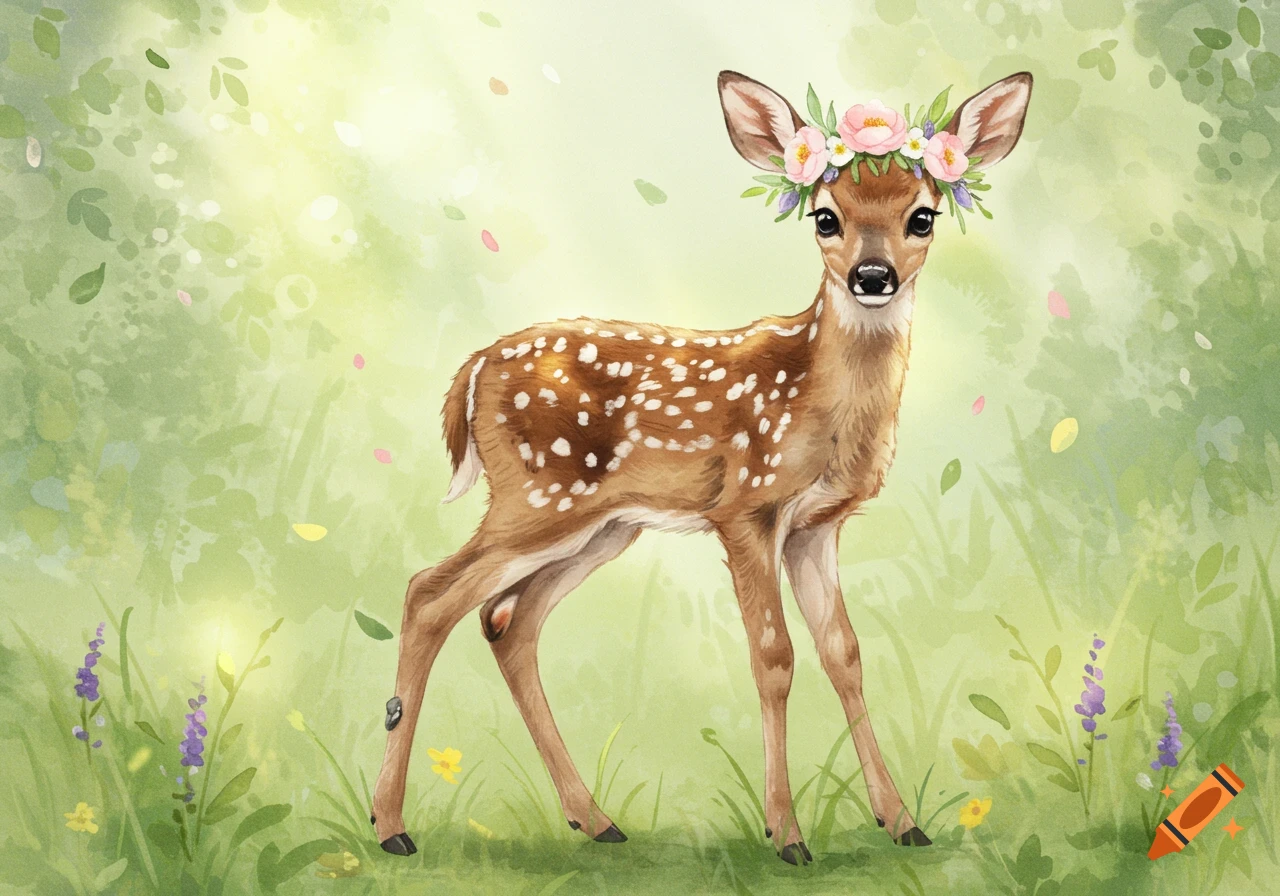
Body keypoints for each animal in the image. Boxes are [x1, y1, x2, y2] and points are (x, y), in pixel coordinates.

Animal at [370, 69, 1033, 865]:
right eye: (826, 217)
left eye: (923, 216)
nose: (873, 277)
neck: (821, 403)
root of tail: (470, 372)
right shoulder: (746, 507)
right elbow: (774, 657)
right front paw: (786, 835)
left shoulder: (818, 525)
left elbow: (844, 653)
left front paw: (902, 821)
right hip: (537, 496)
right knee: (428, 594)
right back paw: (391, 826)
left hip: (601, 527)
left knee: (508, 621)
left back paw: (594, 820)